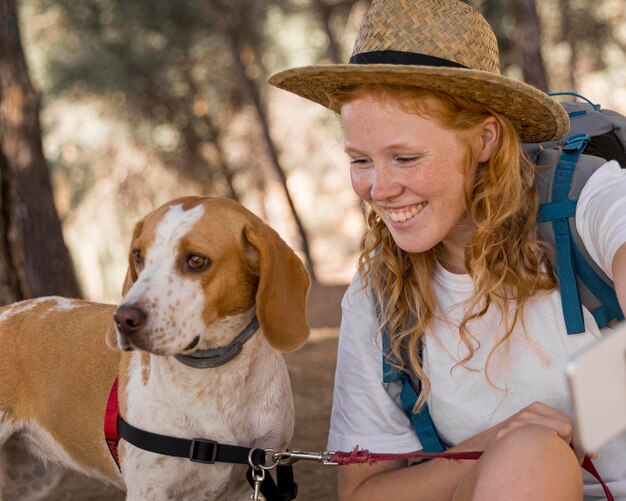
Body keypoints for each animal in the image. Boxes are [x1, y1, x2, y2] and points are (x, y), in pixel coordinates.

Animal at [0, 197, 310, 498]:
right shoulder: (148, 490)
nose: (122, 319)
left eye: (197, 261)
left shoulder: (251, 478)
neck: (216, 378)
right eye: (138, 256)